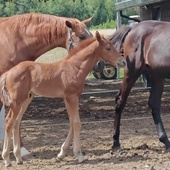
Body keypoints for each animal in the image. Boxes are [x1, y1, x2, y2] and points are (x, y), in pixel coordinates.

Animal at [0, 31, 125, 166]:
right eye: (108, 48)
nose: (123, 62)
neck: (75, 67)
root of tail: (8, 72)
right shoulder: (72, 97)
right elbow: (76, 123)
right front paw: (79, 154)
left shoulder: (67, 98)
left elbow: (71, 122)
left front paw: (61, 154)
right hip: (17, 101)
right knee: (9, 121)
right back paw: (7, 159)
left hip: (26, 99)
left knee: (16, 122)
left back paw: (18, 158)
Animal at [109, 20, 170, 153]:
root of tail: (133, 28)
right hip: (132, 71)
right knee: (120, 100)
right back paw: (116, 143)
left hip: (157, 75)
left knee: (154, 104)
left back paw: (166, 140)